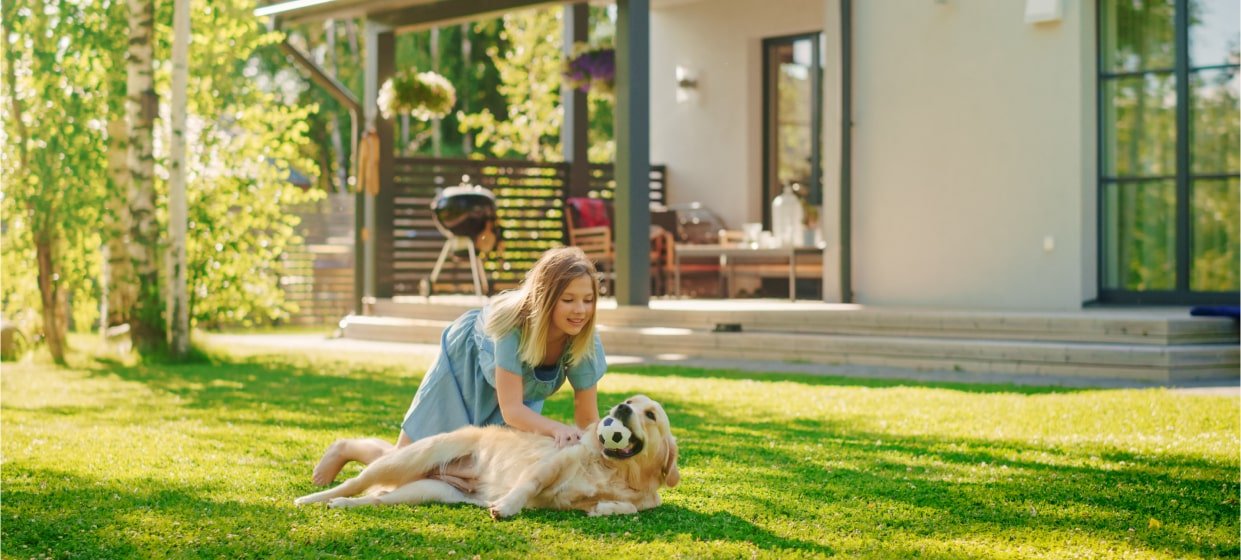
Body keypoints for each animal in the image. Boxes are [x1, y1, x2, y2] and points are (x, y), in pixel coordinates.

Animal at [295, 394, 685, 521]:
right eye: (631, 402)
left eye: (650, 414)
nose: (620, 408)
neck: (614, 469)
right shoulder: (550, 465)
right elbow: (528, 484)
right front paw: (507, 506)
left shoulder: (646, 499)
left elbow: (630, 507)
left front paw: (605, 507)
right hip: (410, 457)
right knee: (356, 480)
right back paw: (314, 496)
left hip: (425, 492)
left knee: (376, 499)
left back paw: (346, 504)